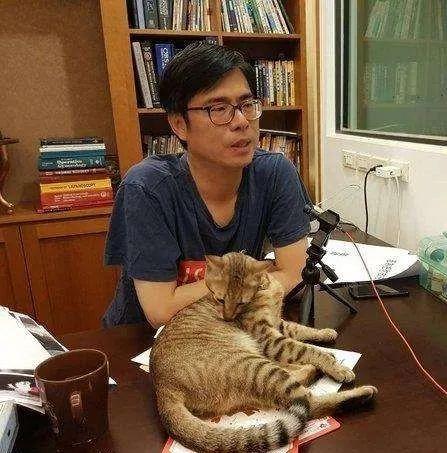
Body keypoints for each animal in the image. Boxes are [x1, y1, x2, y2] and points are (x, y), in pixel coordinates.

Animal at [150, 252, 377, 452]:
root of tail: (162, 388)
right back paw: (357, 392)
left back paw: (317, 370)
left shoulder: (278, 324)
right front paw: (334, 366)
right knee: (307, 402)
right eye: (220, 299)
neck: (266, 288)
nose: (228, 318)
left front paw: (325, 333)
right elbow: (305, 348)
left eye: (240, 302)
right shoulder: (269, 338)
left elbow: (301, 329)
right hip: (254, 365)